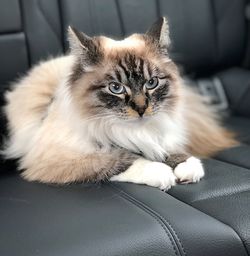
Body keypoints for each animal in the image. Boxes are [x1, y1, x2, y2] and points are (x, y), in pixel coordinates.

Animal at [2, 17, 236, 190]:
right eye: (116, 88)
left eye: (151, 83)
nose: (141, 109)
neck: (132, 131)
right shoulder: (61, 158)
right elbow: (121, 159)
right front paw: (161, 172)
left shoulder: (159, 134)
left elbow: (167, 149)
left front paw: (187, 166)